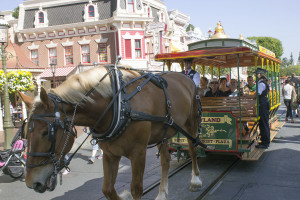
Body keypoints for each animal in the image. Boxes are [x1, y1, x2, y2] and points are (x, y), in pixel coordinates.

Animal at [19, 66, 204, 200]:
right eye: (26, 134)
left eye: (46, 132)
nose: (31, 183)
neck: (118, 105)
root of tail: (185, 77)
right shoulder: (110, 154)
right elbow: (107, 190)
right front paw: (124, 195)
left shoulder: (138, 153)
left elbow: (136, 189)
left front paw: (128, 193)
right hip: (163, 131)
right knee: (165, 160)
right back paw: (162, 194)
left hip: (191, 123)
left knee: (193, 149)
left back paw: (195, 180)